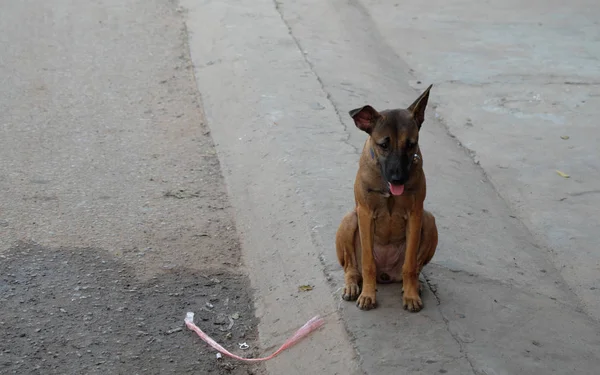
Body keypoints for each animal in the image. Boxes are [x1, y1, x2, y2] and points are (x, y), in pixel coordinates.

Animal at [336, 86, 438, 312]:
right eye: (383, 145)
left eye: (411, 144)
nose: (398, 178)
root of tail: (386, 274)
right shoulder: (365, 213)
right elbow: (368, 263)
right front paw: (367, 295)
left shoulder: (416, 214)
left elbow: (410, 264)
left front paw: (410, 295)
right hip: (350, 219)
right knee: (351, 268)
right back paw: (352, 286)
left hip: (428, 220)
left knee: (416, 266)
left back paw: (415, 285)